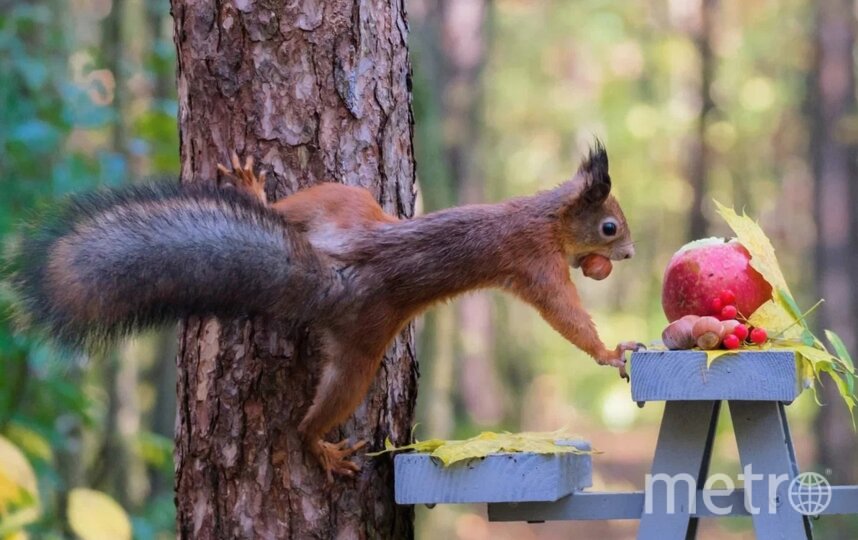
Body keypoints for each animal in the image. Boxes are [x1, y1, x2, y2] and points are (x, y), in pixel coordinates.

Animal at [6, 142, 636, 476]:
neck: (546, 217)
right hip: (362, 348)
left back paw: (252, 191)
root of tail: (337, 271)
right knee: (310, 418)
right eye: (610, 227)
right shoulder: (537, 265)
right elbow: (566, 318)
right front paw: (609, 350)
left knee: (290, 209)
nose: (628, 255)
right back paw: (320, 445)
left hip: (339, 202)